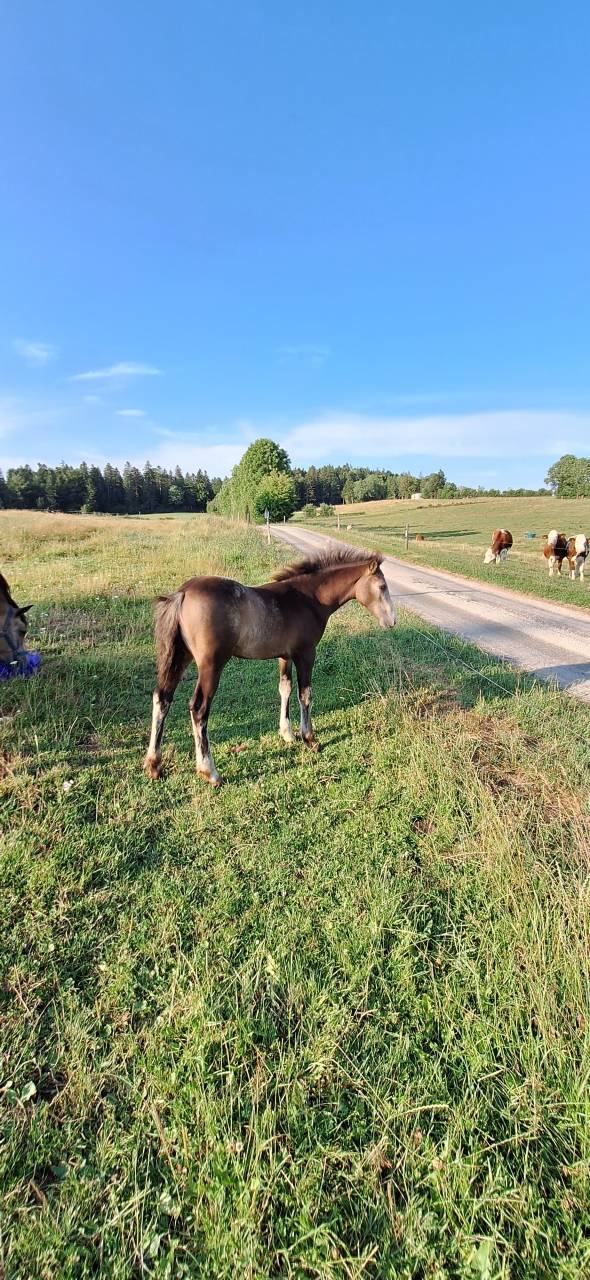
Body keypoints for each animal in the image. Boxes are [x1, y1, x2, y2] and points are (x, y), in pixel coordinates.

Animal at [144, 547, 396, 786]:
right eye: (382, 586)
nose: (392, 622)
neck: (309, 598)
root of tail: (183, 592)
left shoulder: (285, 656)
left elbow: (285, 688)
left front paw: (287, 734)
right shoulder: (306, 654)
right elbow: (305, 694)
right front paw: (310, 739)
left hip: (179, 656)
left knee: (162, 698)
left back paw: (154, 765)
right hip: (211, 665)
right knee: (199, 708)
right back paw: (210, 773)